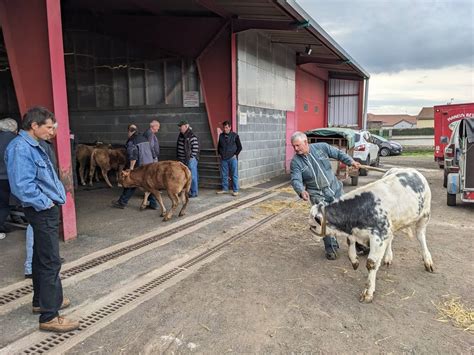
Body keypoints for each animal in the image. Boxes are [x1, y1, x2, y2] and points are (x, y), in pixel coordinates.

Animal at [310, 168, 436, 302]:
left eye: (313, 226)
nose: (313, 236)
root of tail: (411, 170)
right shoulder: (359, 231)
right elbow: (350, 244)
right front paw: (354, 261)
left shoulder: (379, 236)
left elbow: (371, 263)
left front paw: (368, 292)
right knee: (391, 238)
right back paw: (388, 257)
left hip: (424, 216)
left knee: (421, 236)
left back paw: (427, 261)